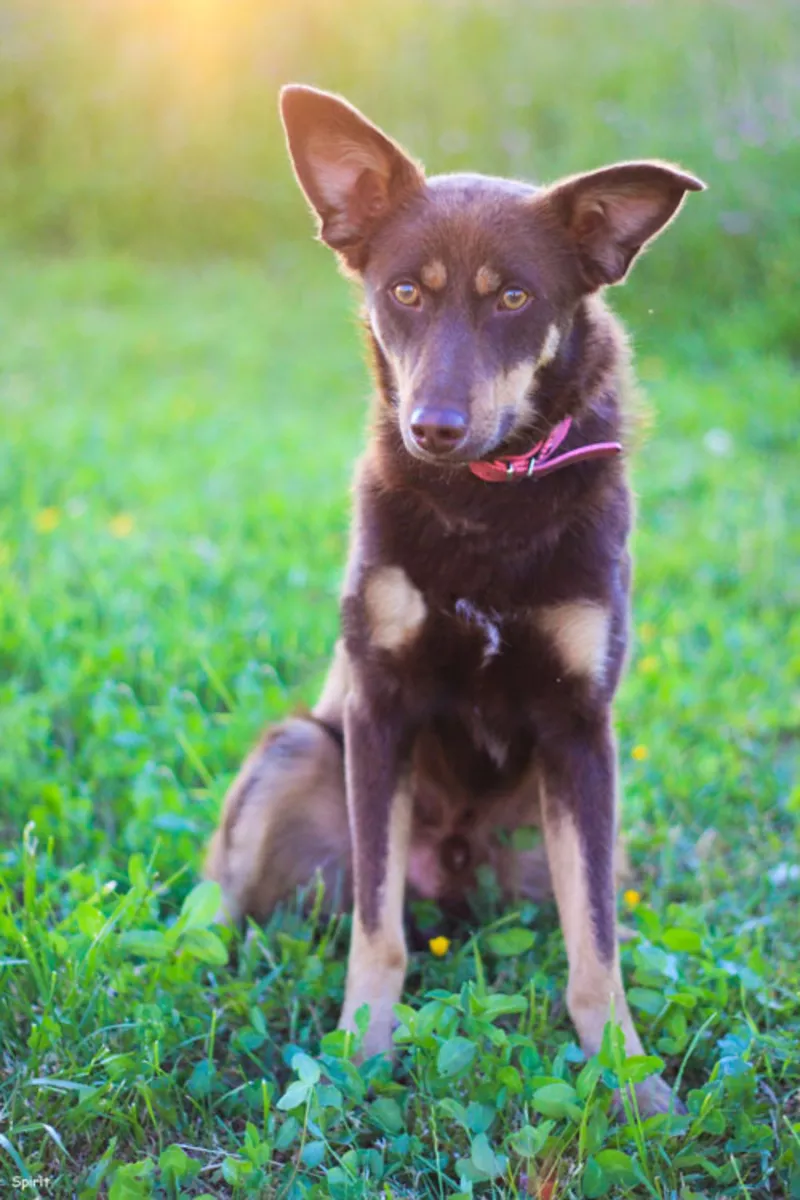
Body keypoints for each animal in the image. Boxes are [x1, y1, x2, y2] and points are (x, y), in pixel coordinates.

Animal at [203, 84, 705, 1113]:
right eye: (406, 292)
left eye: (514, 297)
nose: (432, 427)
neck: (487, 501)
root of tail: (456, 885)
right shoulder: (380, 703)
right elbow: (378, 930)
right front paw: (356, 1056)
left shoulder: (580, 730)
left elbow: (596, 952)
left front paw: (631, 1085)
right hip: (295, 750)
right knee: (241, 901)